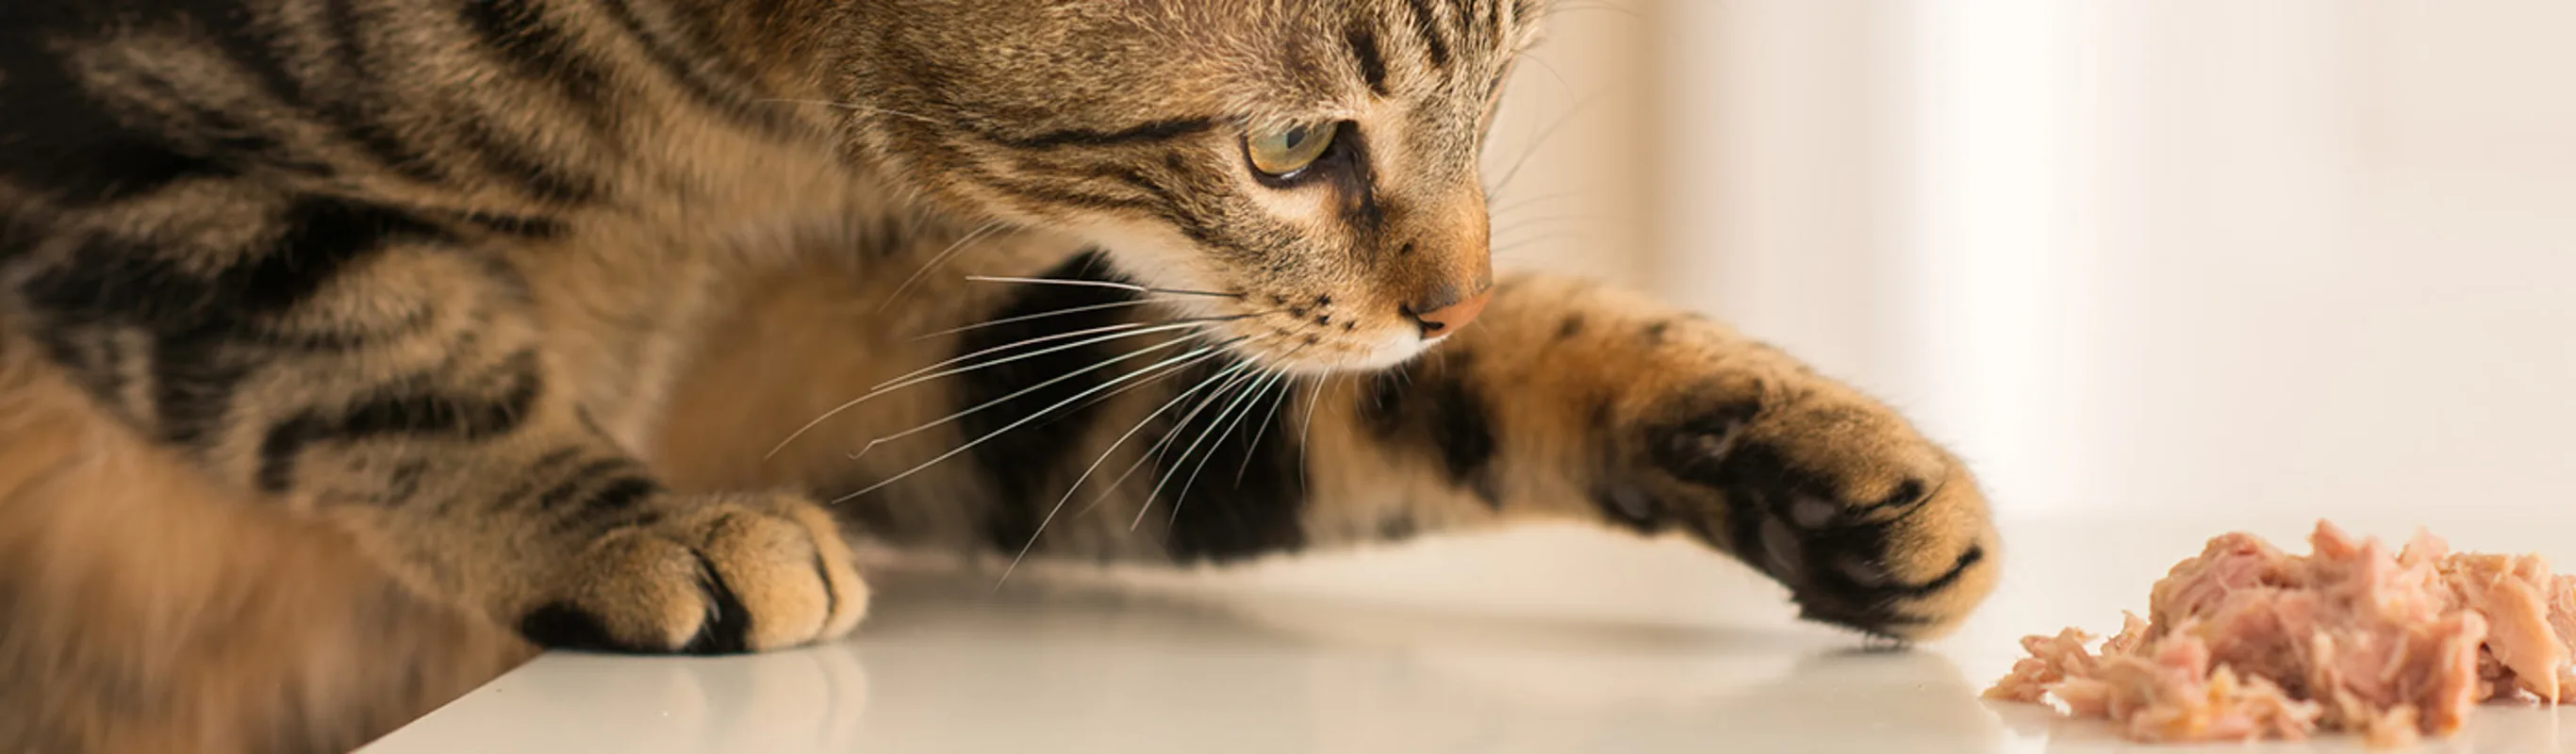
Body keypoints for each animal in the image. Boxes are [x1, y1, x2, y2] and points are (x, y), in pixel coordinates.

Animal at [0, 0, 1999, 746]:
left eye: (1498, 84)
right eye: (1289, 149)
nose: (1451, 288)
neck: (733, 167)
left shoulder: (939, 362)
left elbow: (1422, 405)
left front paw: (1813, 461)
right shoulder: (107, 160)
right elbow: (376, 353)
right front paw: (629, 524)